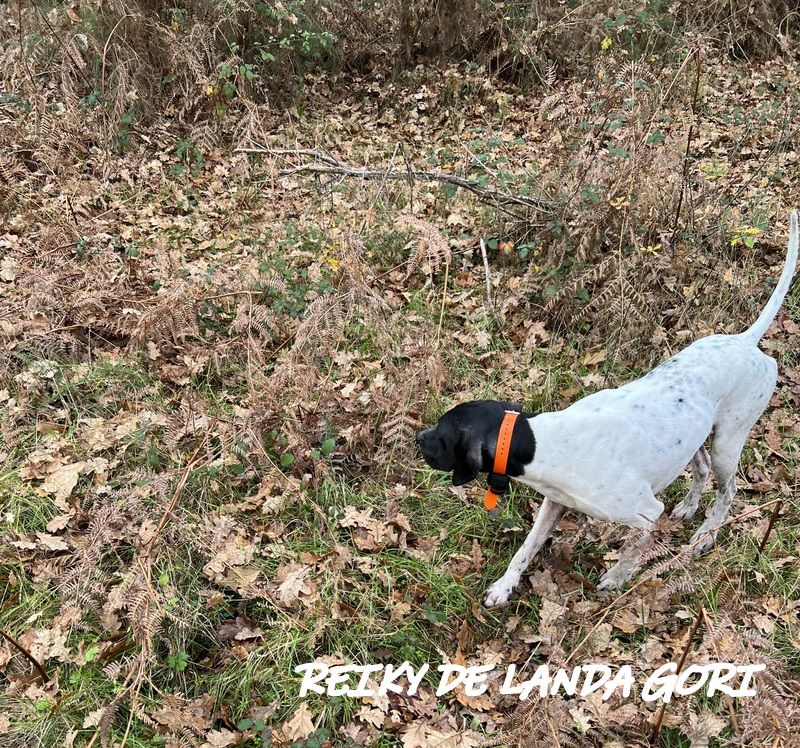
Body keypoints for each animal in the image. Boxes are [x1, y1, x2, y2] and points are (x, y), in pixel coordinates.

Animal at [416, 207, 796, 604]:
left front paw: (617, 576)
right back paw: (690, 507)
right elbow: (526, 549)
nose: (418, 438)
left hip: (728, 440)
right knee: (702, 466)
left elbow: (634, 548)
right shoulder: (554, 502)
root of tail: (746, 342)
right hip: (694, 436)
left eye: (441, 435)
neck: (544, 440)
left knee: (728, 491)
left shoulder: (646, 512)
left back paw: (706, 535)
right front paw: (505, 586)